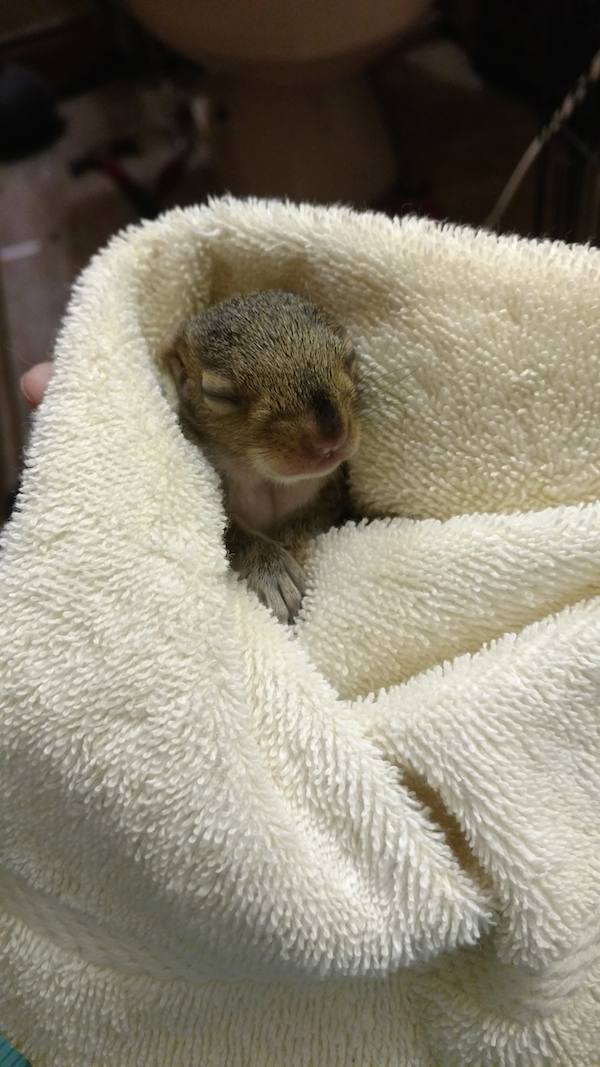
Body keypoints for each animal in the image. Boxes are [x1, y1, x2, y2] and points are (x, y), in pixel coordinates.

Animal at [166, 290, 361, 623]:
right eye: (219, 395)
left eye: (350, 357)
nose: (331, 437)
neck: (263, 477)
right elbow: (231, 535)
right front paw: (273, 572)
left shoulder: (328, 492)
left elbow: (308, 520)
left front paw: (289, 550)